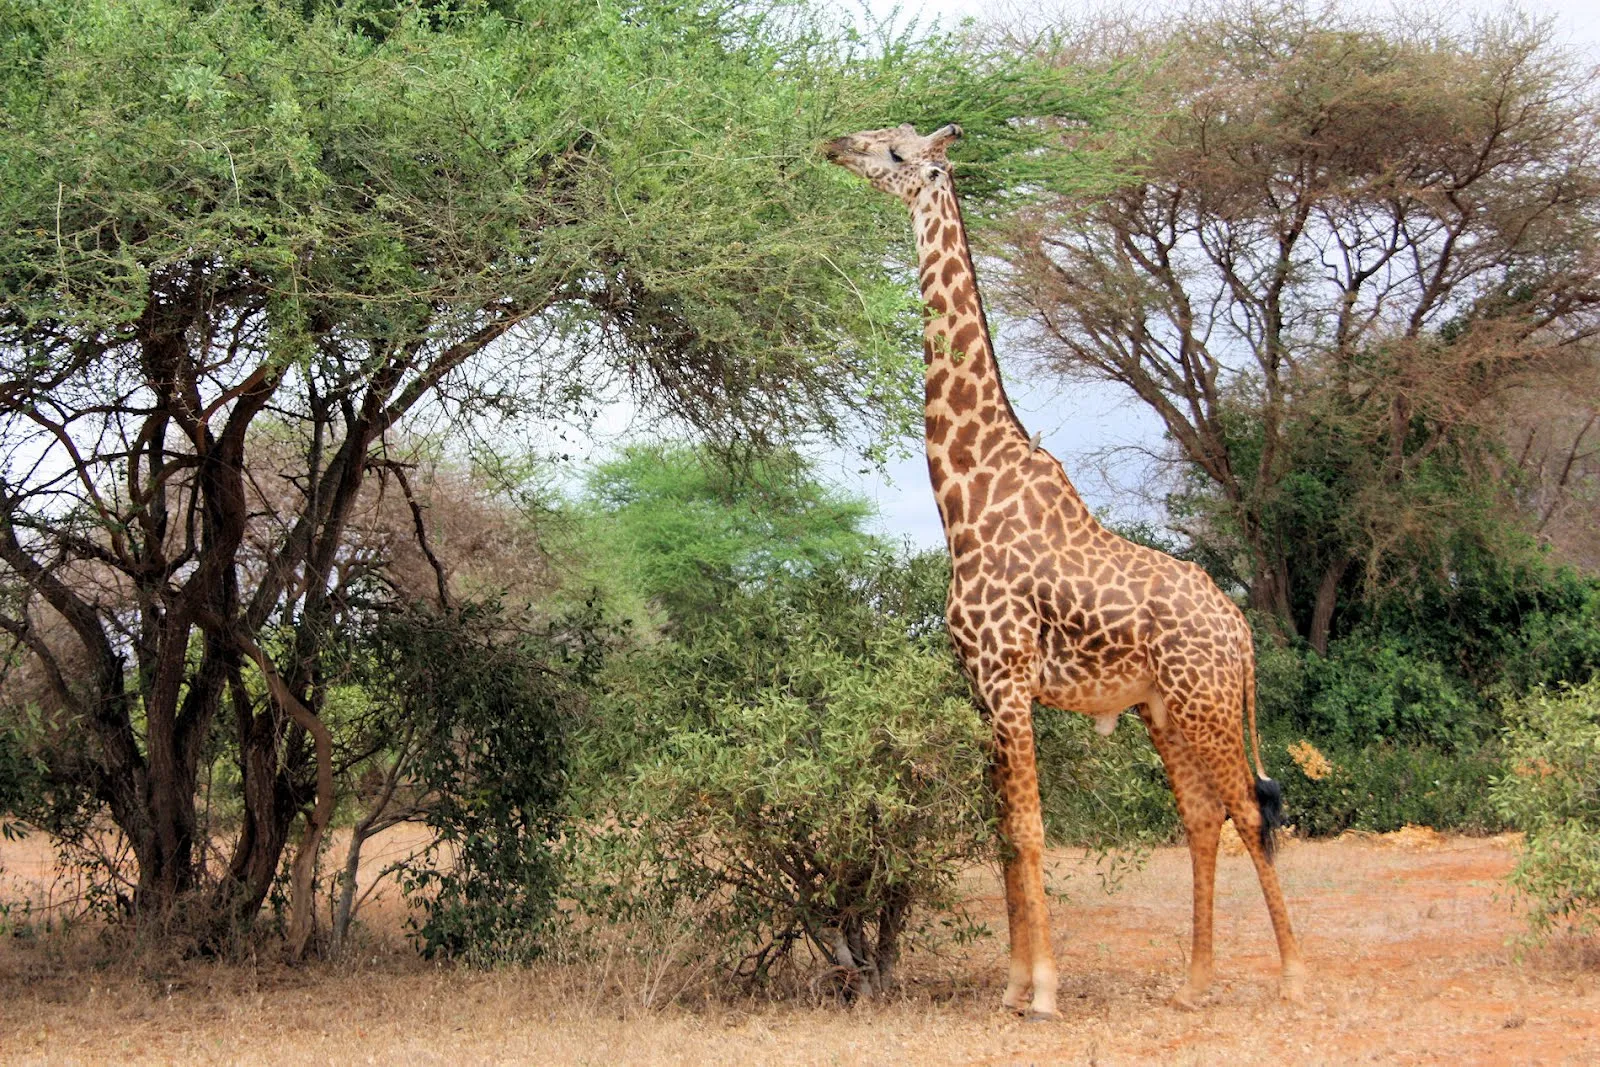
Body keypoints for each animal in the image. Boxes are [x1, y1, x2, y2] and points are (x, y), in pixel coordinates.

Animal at [825, 123, 1312, 1017]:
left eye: (899, 155)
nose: (838, 144)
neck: (964, 493)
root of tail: (1240, 629)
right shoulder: (981, 687)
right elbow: (1002, 835)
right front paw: (1013, 984)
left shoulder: (1011, 677)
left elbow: (1029, 828)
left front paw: (1045, 990)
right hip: (1165, 707)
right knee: (1201, 815)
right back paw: (1195, 981)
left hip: (1207, 702)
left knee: (1251, 809)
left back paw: (1293, 974)